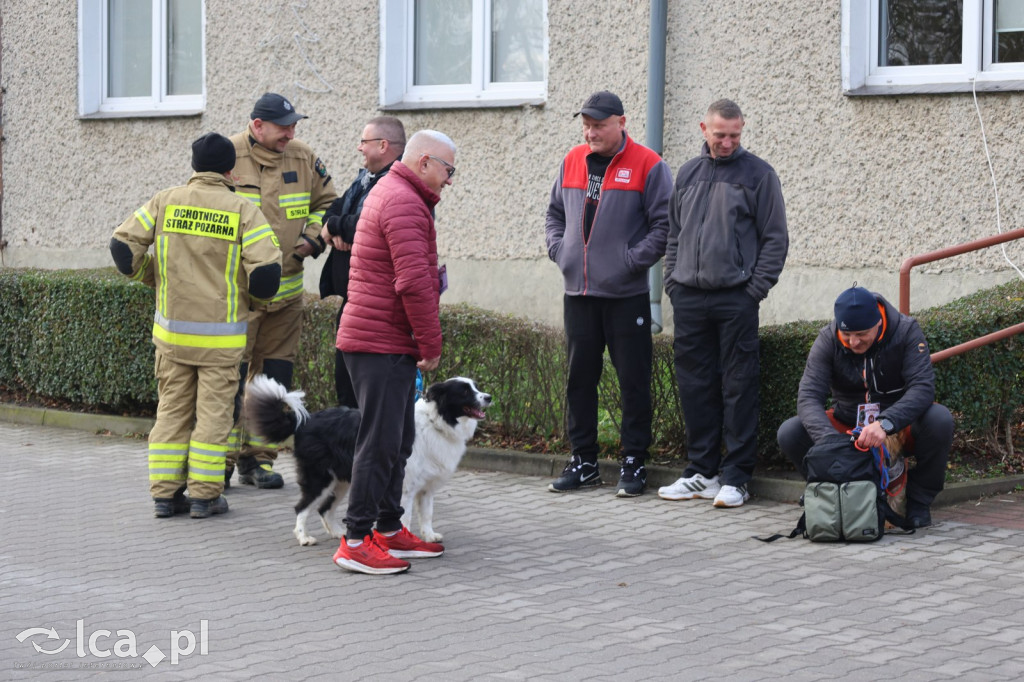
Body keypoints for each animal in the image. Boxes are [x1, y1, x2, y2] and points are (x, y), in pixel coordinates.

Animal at [243, 374, 491, 544]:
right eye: (465, 391)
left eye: (476, 387)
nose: (489, 397)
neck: (435, 422)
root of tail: (305, 421)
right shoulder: (405, 488)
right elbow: (405, 517)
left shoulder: (427, 488)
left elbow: (427, 514)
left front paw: (429, 536)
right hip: (320, 479)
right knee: (302, 507)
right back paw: (304, 537)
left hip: (342, 481)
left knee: (324, 509)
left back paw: (337, 533)